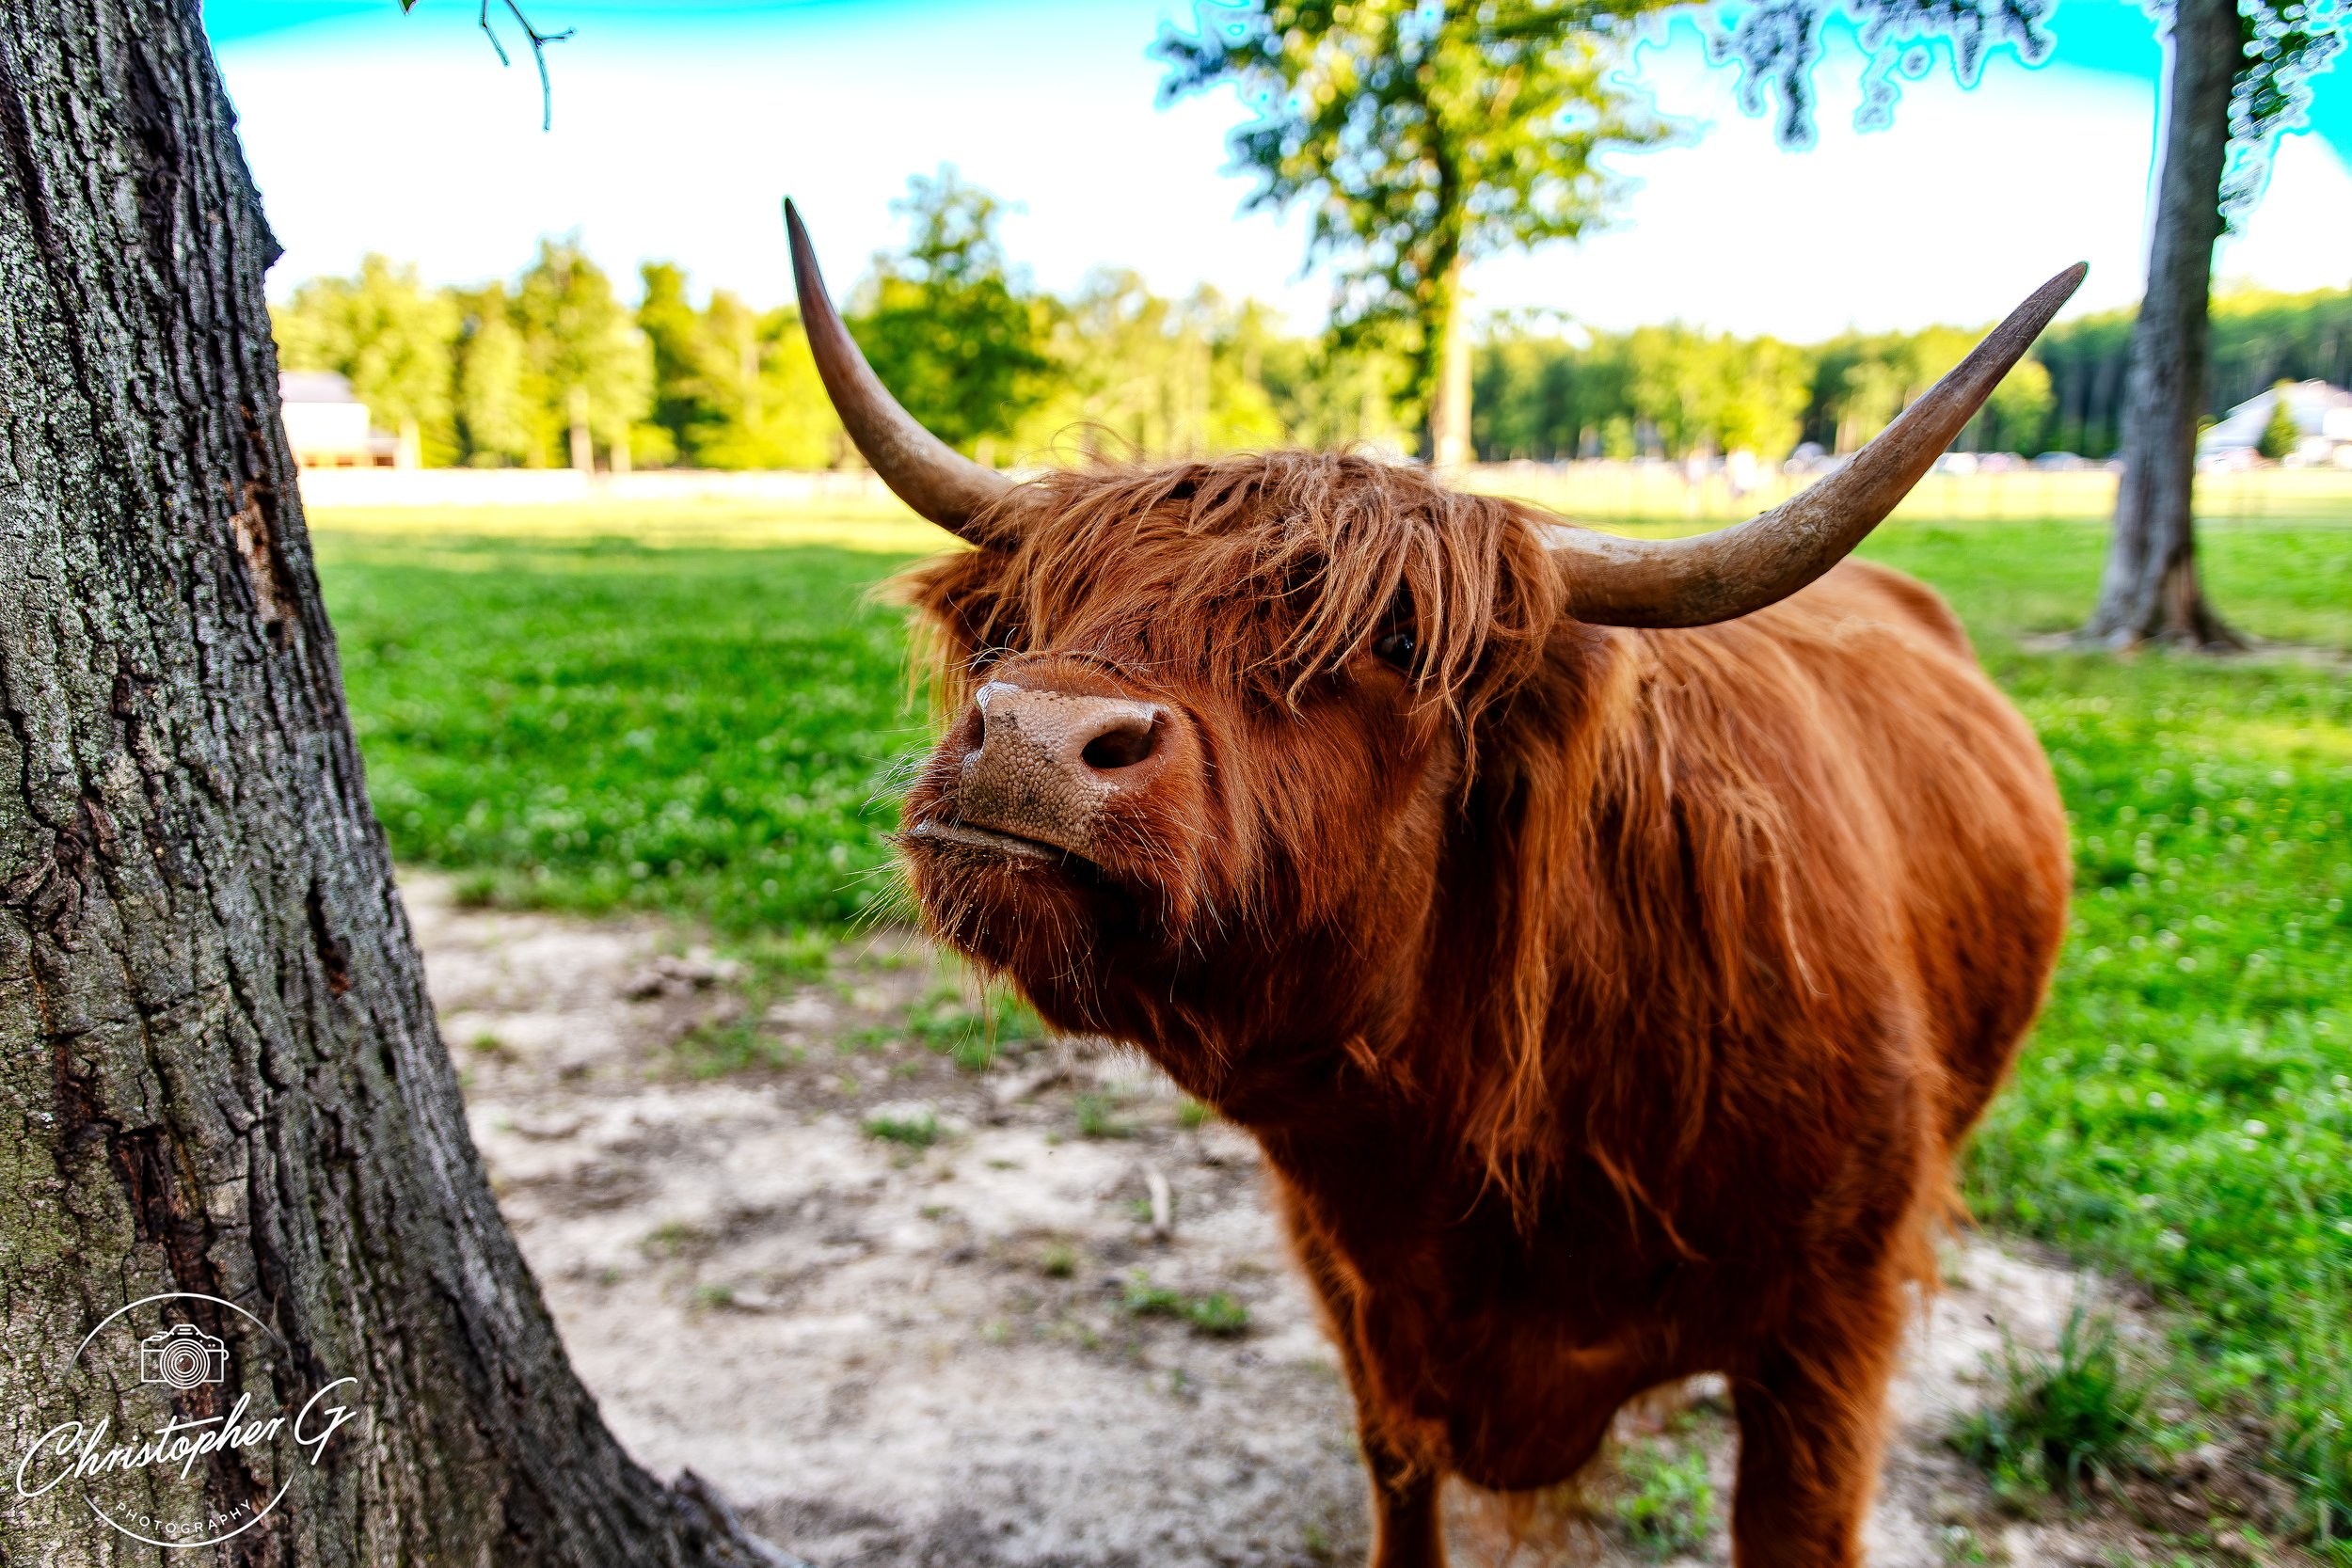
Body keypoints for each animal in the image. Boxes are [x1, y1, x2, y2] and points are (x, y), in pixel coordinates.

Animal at [785, 200, 2079, 1567]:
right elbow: (1396, 1478)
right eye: (1024, 617)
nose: (1034, 734)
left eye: (1397, 642)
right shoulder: (1360, 1299)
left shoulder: (1835, 1325)